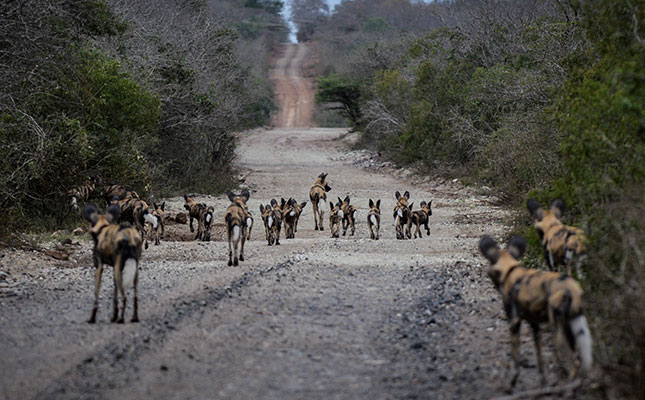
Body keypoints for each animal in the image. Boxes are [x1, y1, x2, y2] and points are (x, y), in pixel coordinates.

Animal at [480, 234, 592, 388]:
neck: (510, 270)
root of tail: (571, 288)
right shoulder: (535, 325)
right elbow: (539, 357)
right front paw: (543, 381)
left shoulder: (514, 322)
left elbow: (516, 358)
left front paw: (512, 383)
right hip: (575, 323)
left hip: (557, 329)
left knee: (574, 361)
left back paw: (568, 386)